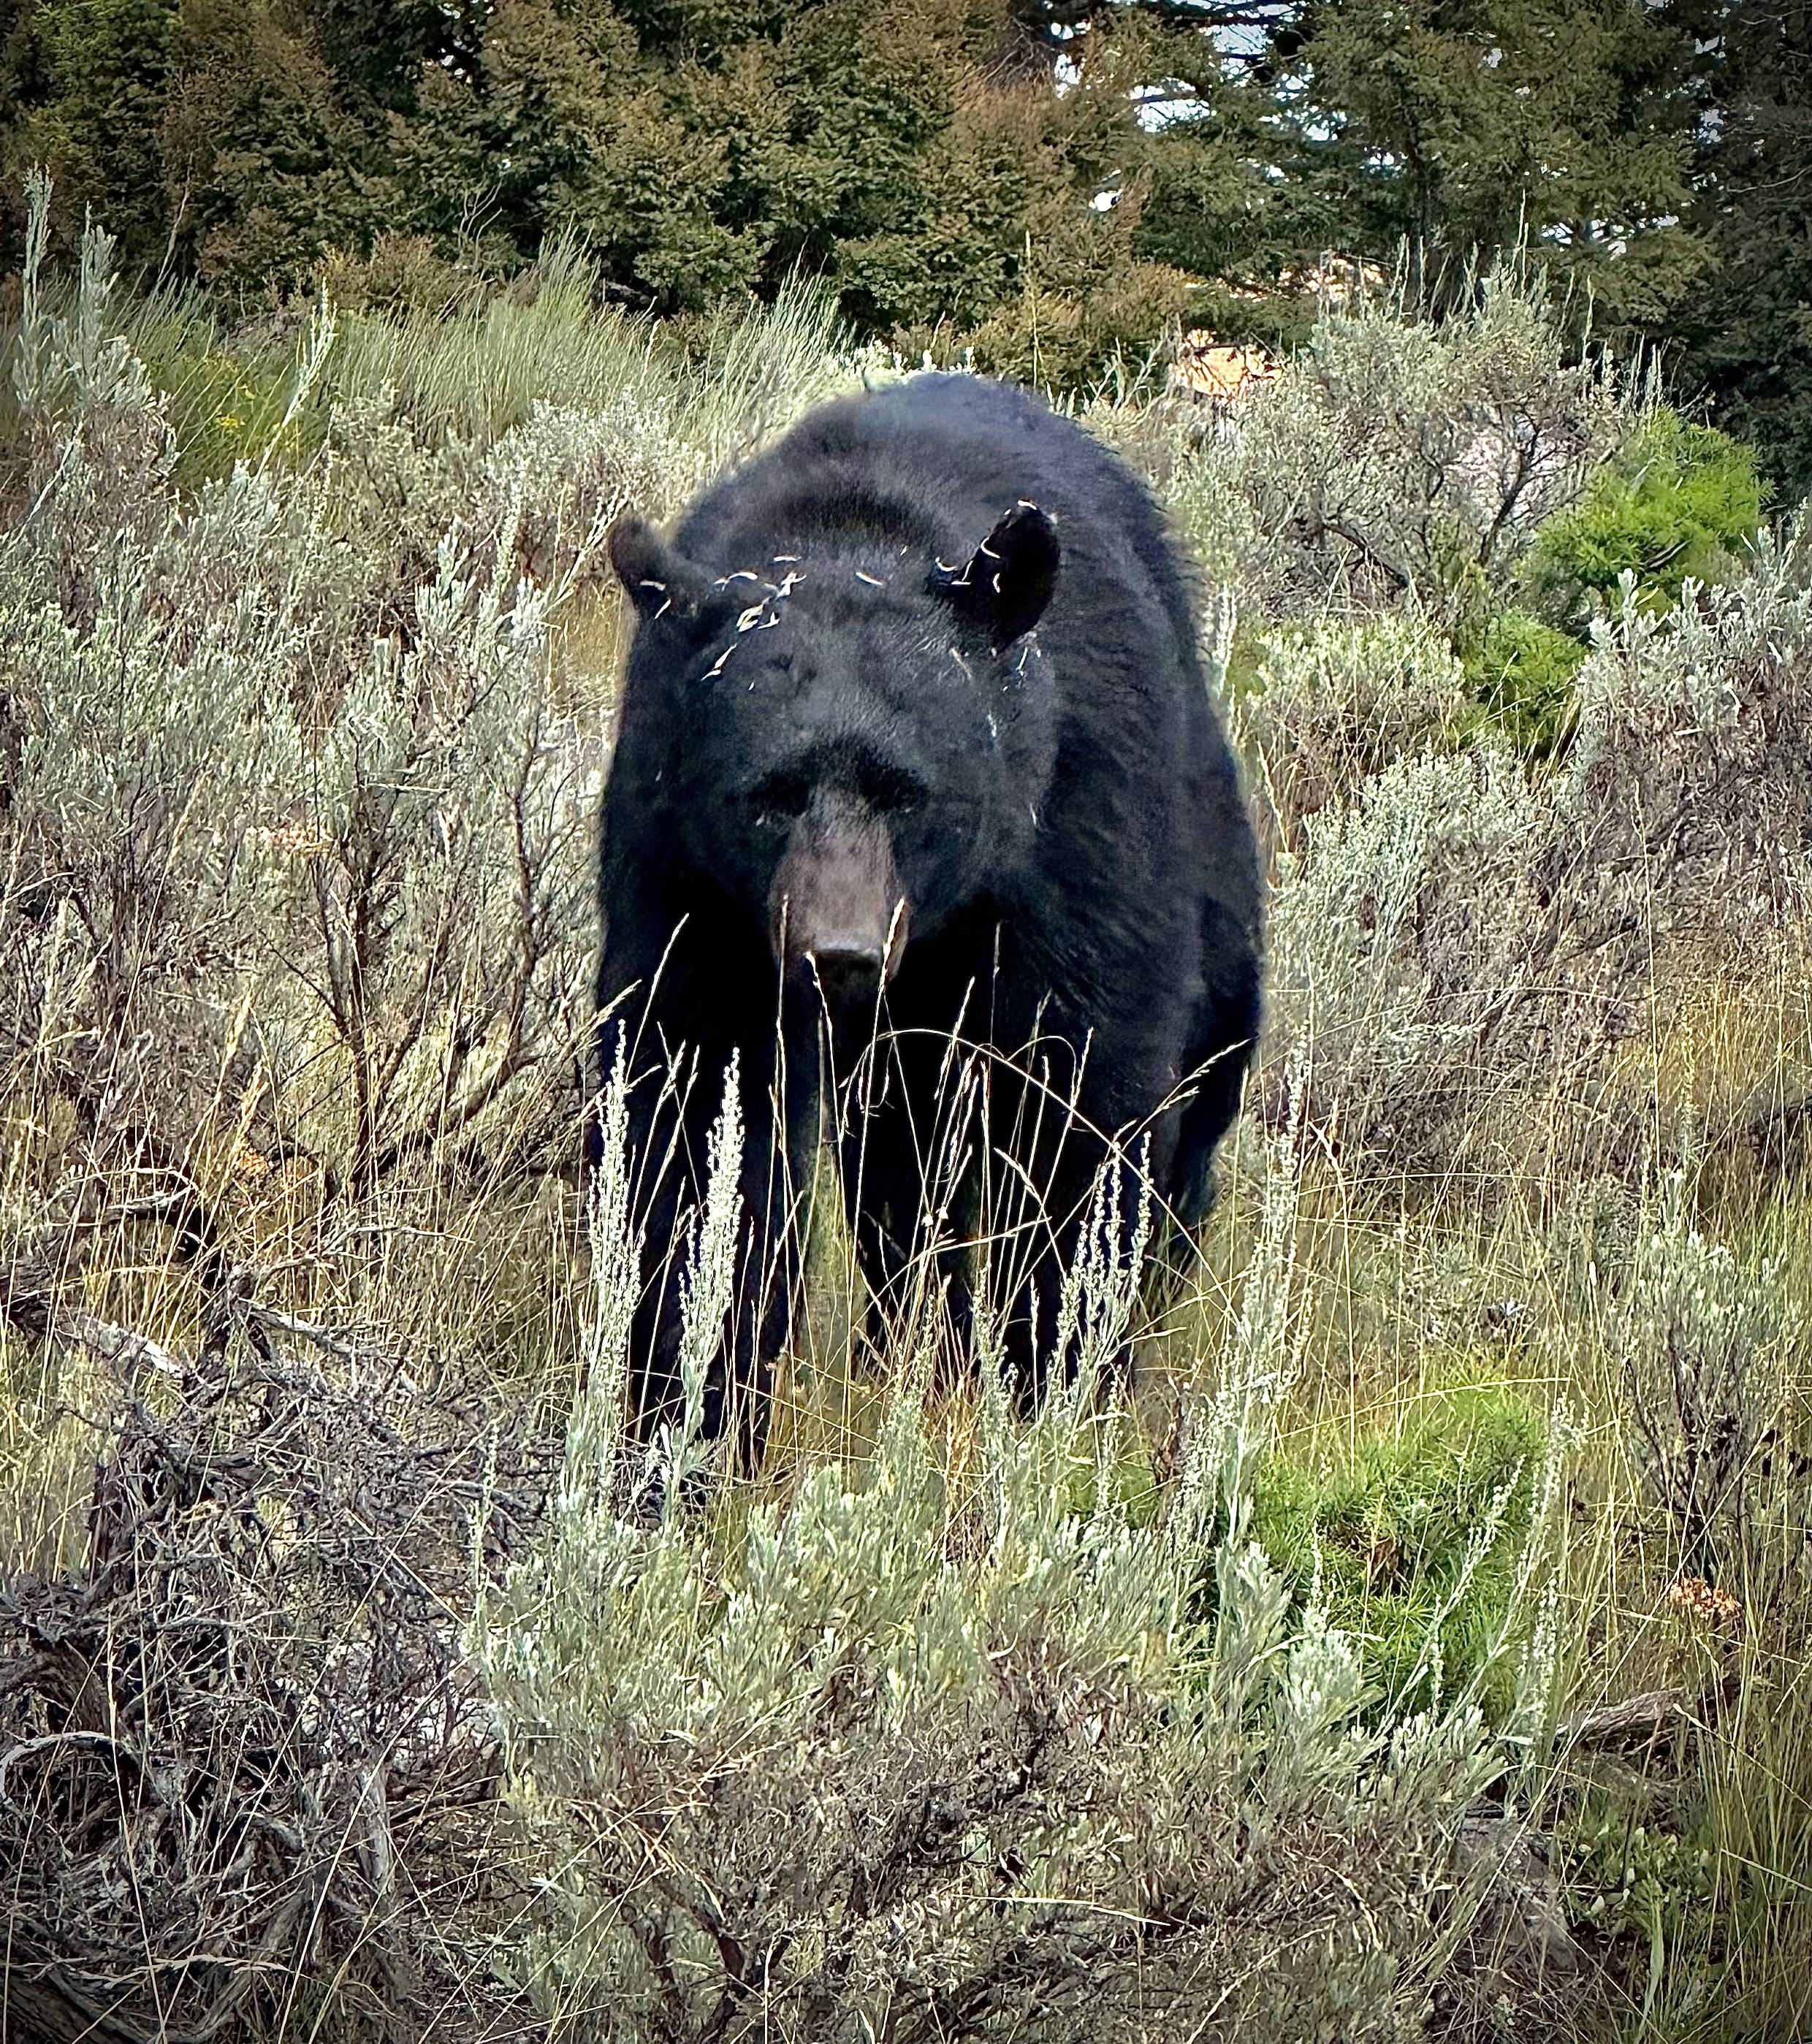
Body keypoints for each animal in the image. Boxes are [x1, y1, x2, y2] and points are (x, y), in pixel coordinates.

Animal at [595, 371, 1261, 1475]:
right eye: (767, 794)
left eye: (905, 790)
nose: (838, 952)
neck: (853, 532)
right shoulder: (684, 859)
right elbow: (697, 1098)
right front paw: (688, 1407)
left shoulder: (1076, 810)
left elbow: (1077, 1088)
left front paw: (1055, 1373)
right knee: (899, 1170)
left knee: (1202, 1070)